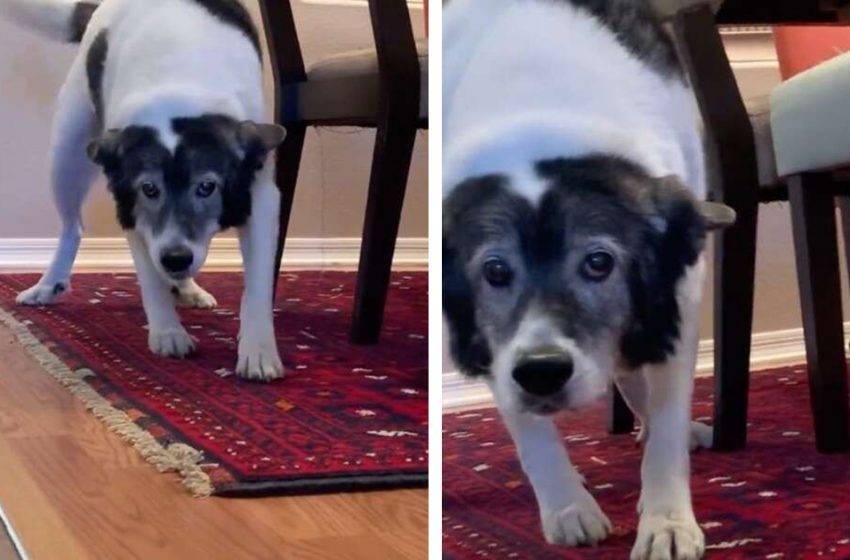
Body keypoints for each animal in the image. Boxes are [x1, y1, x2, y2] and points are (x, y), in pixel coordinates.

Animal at [0, 0, 286, 380]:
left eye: (207, 187)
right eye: (149, 189)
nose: (176, 257)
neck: (180, 88)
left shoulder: (260, 199)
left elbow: (256, 287)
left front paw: (258, 351)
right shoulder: (131, 208)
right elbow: (150, 277)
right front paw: (167, 332)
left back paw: (187, 287)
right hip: (66, 154)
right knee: (72, 226)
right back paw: (50, 282)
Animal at [440, 2, 732, 556]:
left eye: (599, 263)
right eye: (495, 271)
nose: (542, 372)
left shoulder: (679, 296)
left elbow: (667, 417)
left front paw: (666, 521)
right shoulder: (494, 346)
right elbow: (529, 429)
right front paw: (568, 507)